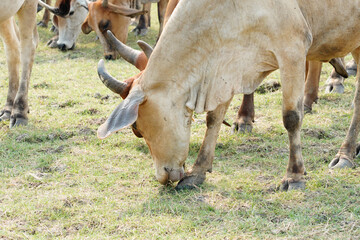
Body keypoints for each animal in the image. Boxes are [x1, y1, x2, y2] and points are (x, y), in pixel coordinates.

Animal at [96, 0, 360, 191]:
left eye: (137, 129)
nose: (162, 176)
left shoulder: (292, 50)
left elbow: (291, 118)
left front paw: (294, 176)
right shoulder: (227, 65)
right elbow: (213, 119)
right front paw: (197, 172)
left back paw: (344, 156)